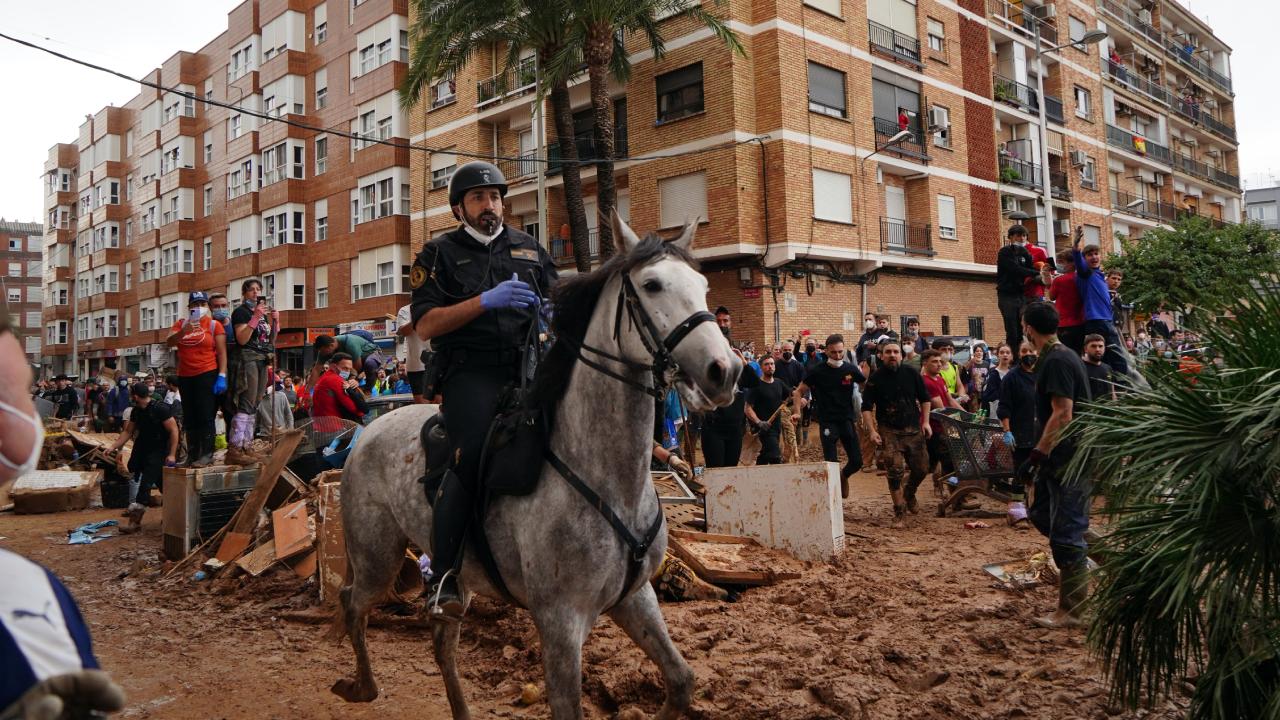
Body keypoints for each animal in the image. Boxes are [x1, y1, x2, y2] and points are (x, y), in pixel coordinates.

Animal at [330, 212, 742, 717]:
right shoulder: (560, 622)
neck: (611, 478)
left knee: (442, 641)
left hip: (454, 575)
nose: (726, 371)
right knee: (352, 601)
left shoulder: (635, 597)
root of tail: (369, 429)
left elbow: (681, 680)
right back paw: (362, 686)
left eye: (703, 286)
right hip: (377, 557)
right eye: (652, 284)